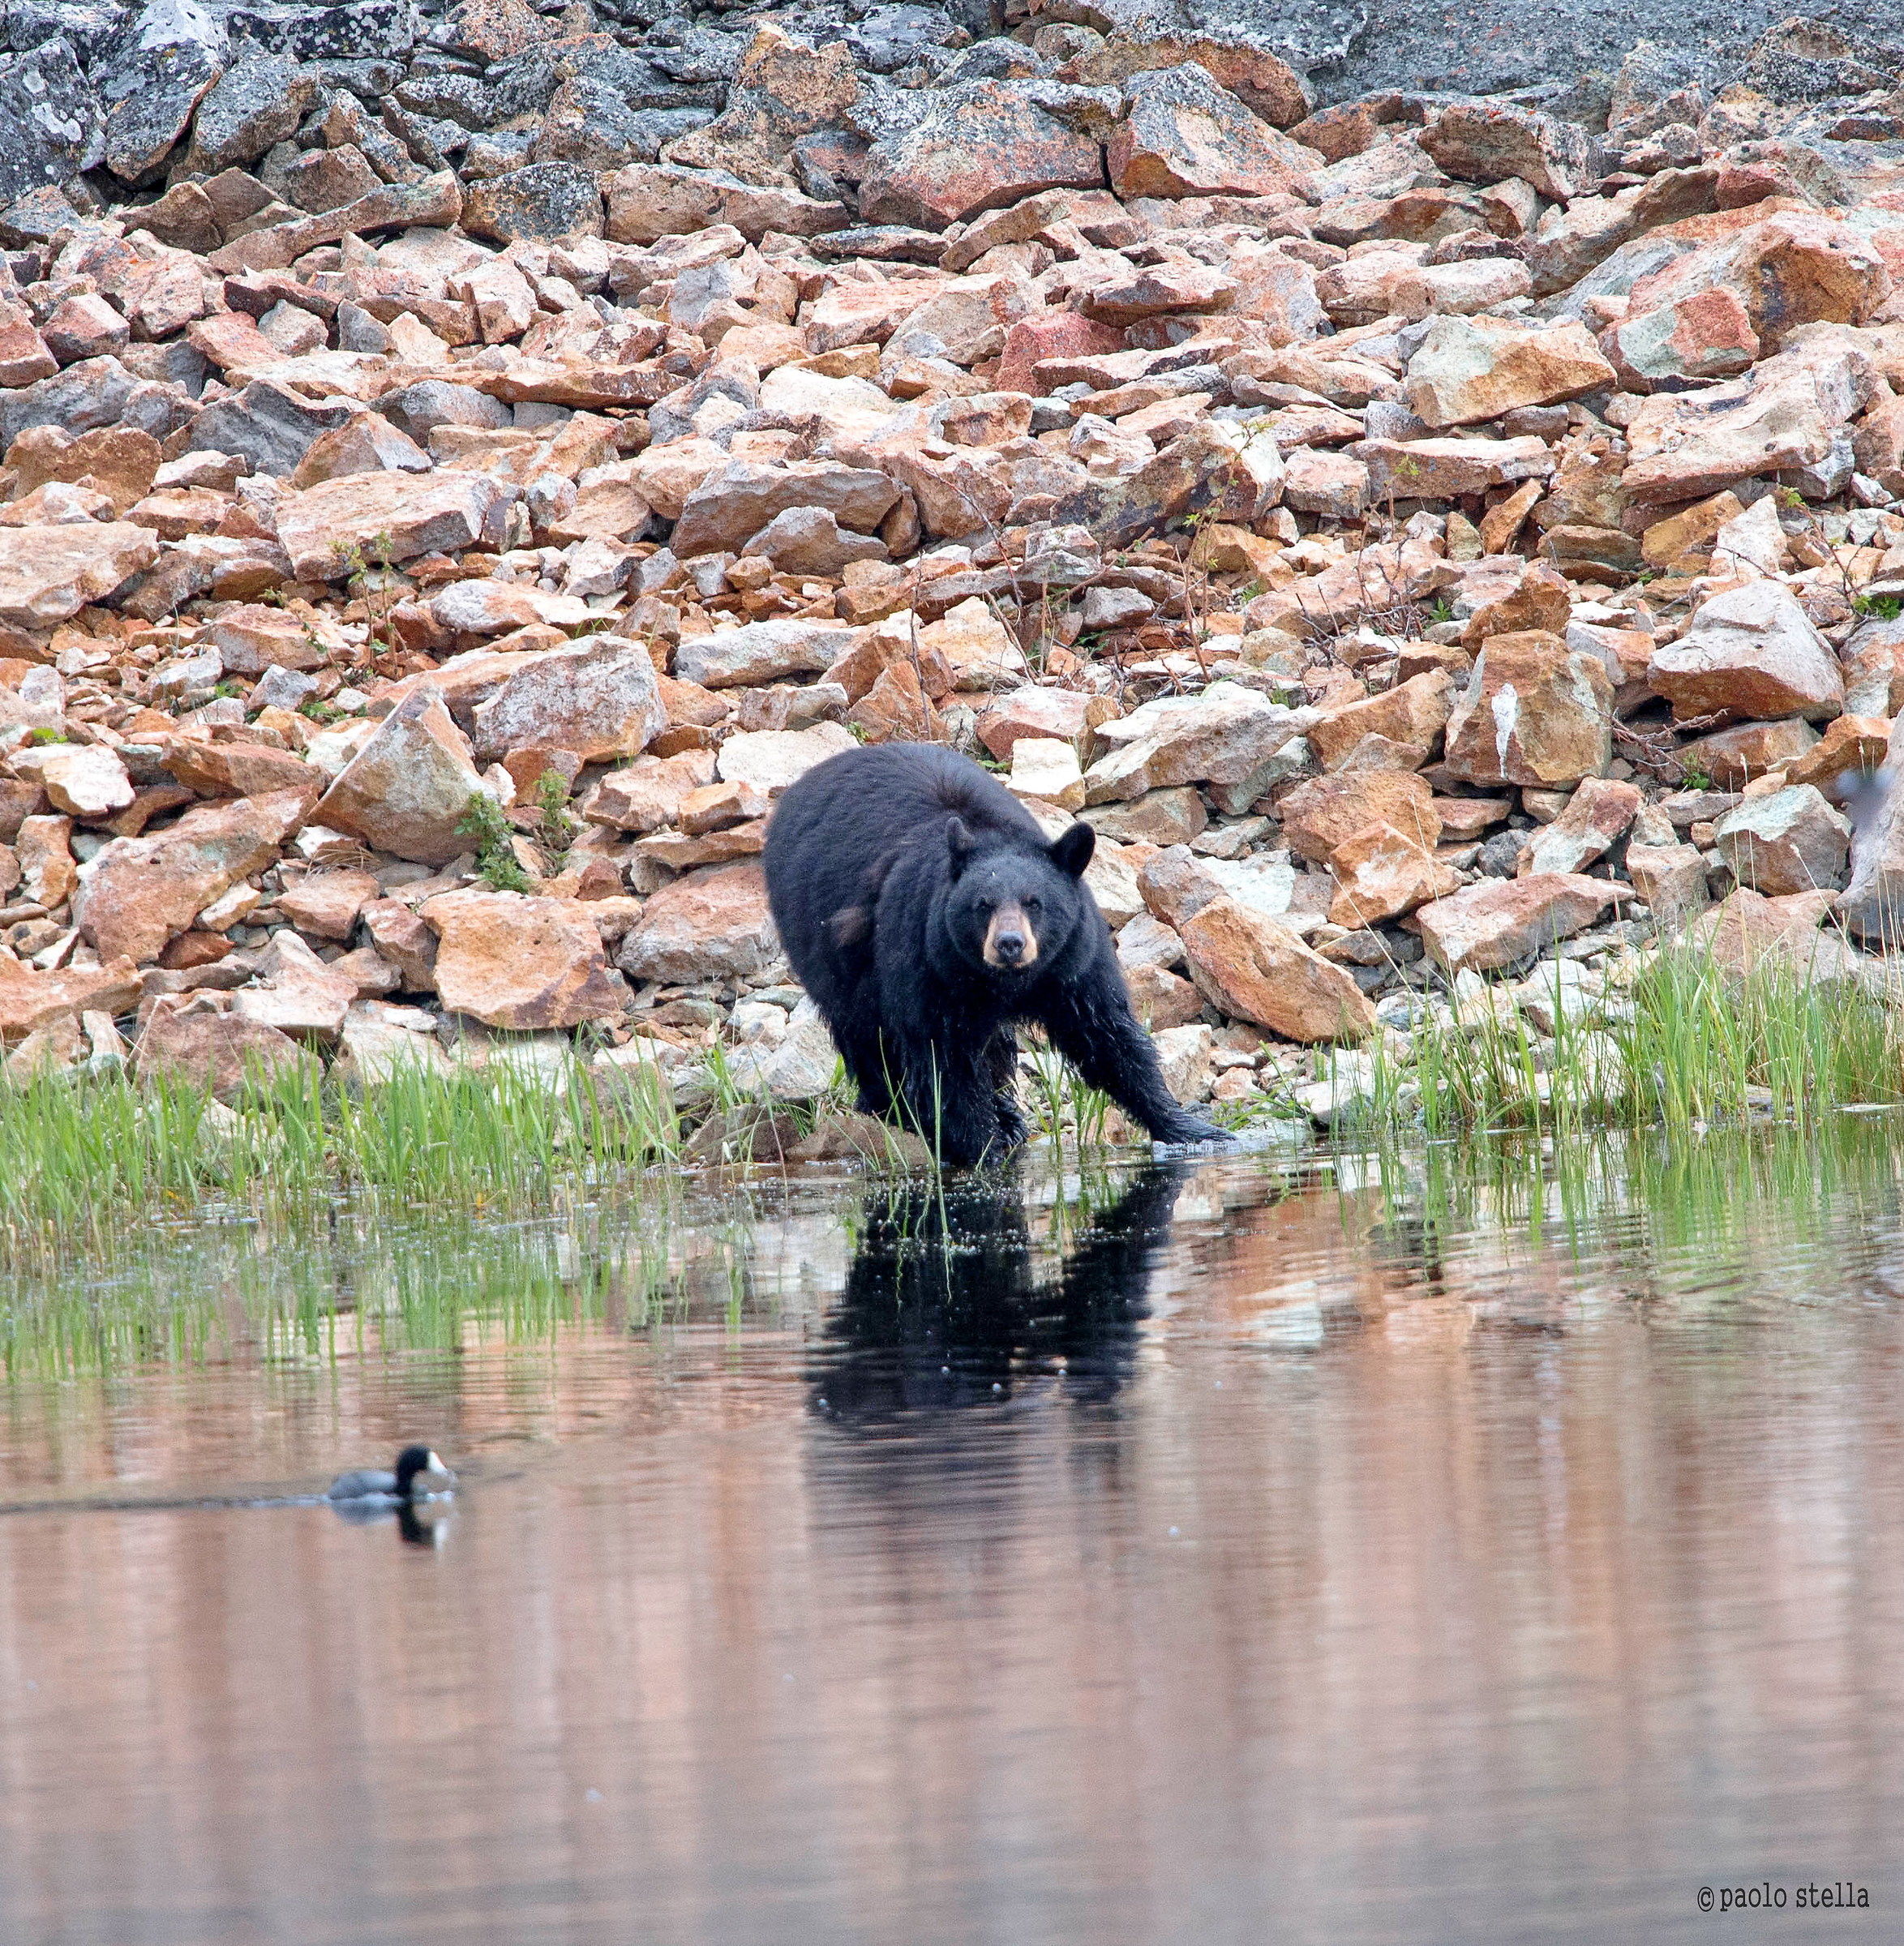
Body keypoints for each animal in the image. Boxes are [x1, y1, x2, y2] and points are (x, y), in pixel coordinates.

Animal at [764, 742, 1228, 1166]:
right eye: (982, 904)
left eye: (1034, 902)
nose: (1009, 943)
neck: (1006, 982)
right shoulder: (928, 961)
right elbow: (942, 1059)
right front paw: (980, 1146)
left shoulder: (1074, 961)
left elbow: (1106, 1034)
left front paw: (1193, 1130)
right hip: (823, 936)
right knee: (865, 1031)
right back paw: (895, 1109)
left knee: (993, 1046)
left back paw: (1007, 1117)